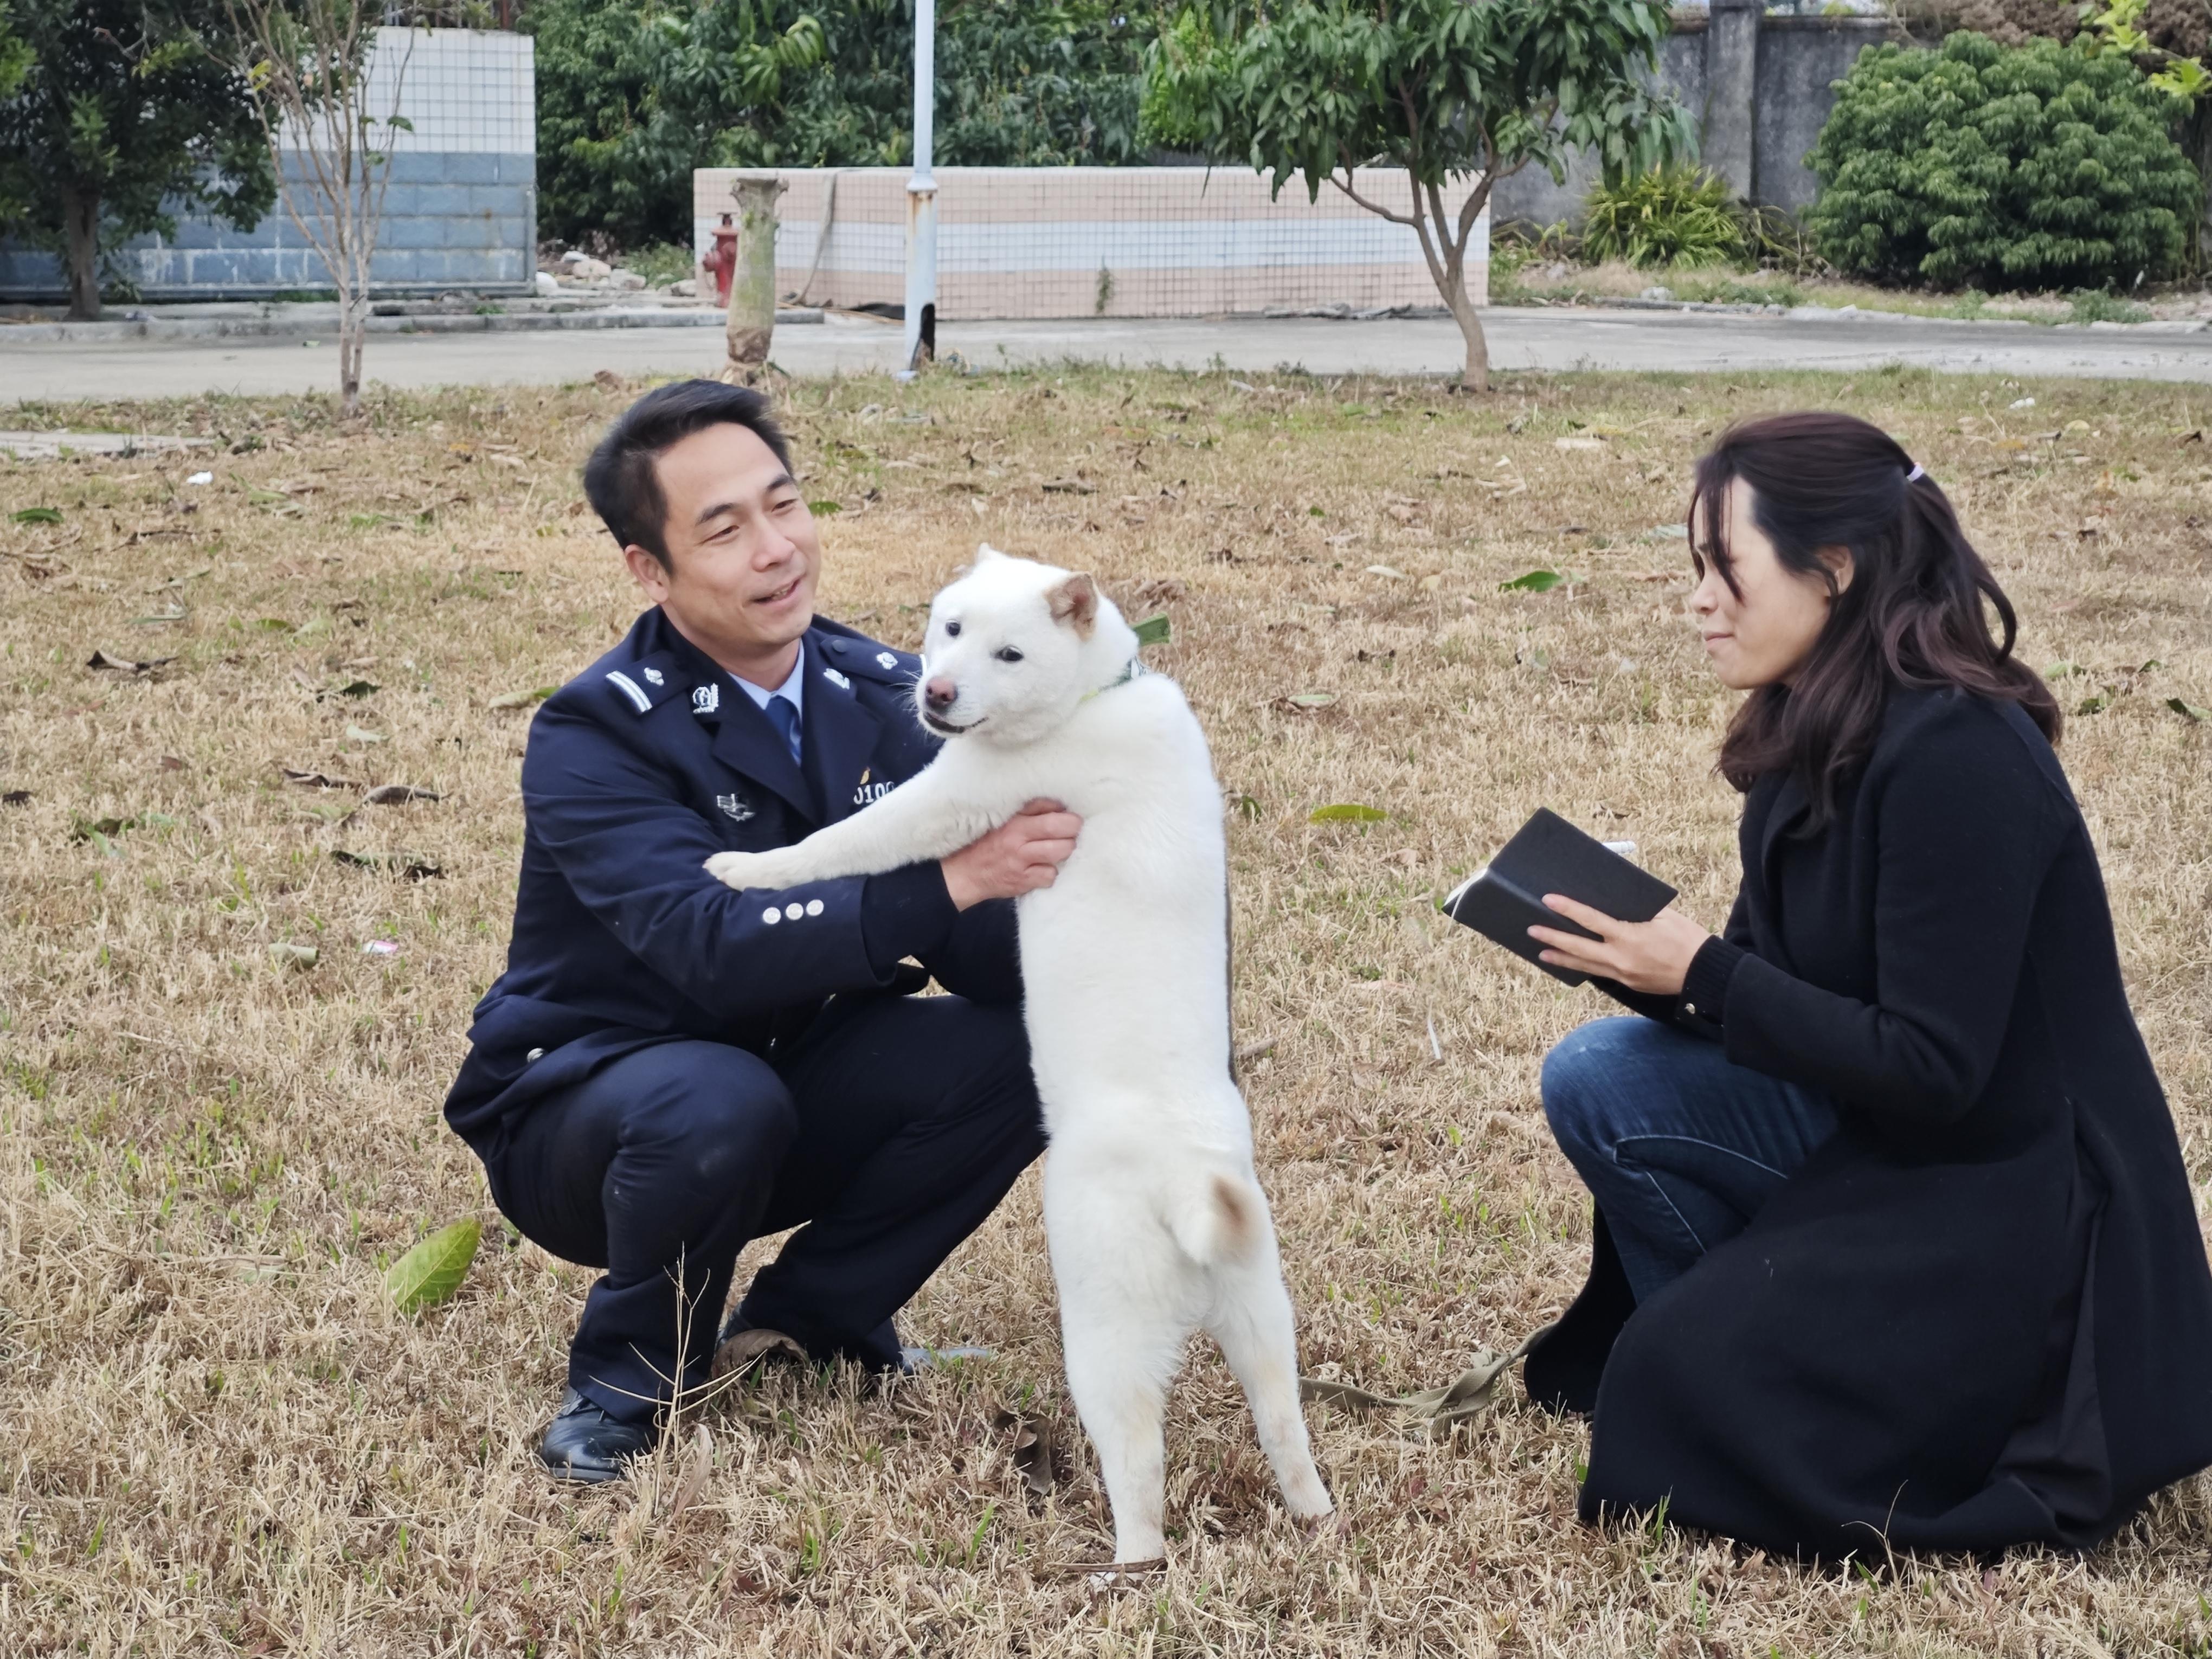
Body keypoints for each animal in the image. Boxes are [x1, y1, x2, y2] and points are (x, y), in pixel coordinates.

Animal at [703, 548, 1327, 1574]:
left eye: (1010, 653)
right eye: (951, 628)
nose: (937, 693)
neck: (1099, 693)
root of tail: (1185, 1191)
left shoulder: (958, 796)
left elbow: (844, 845)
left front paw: (748, 871)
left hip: (1107, 1341)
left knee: (1139, 1471)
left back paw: (1125, 1565)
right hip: (1262, 1320)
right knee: (1286, 1430)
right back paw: (1315, 1515)